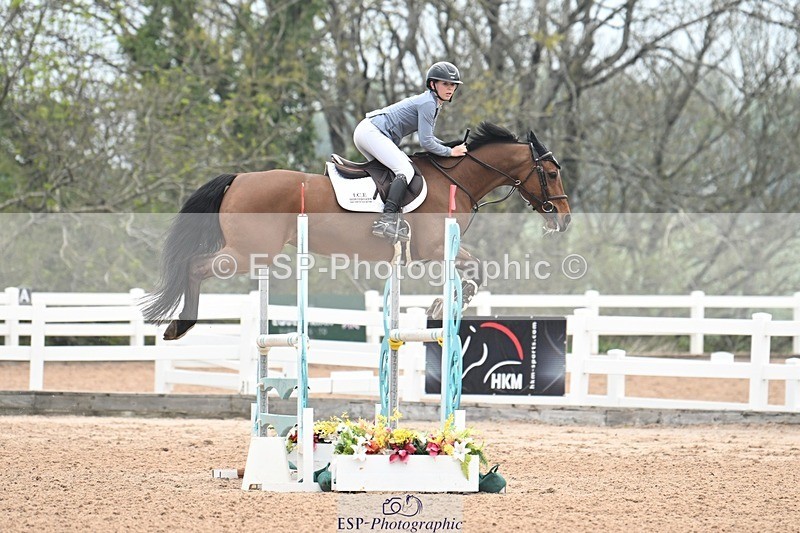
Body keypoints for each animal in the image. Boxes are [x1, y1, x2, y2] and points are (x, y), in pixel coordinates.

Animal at [142, 122, 571, 340]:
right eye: (551, 173)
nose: (564, 219)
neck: (458, 179)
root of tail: (238, 179)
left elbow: (475, 271)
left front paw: (441, 305)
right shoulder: (435, 249)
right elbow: (477, 271)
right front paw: (440, 307)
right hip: (247, 253)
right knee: (195, 266)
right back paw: (181, 325)